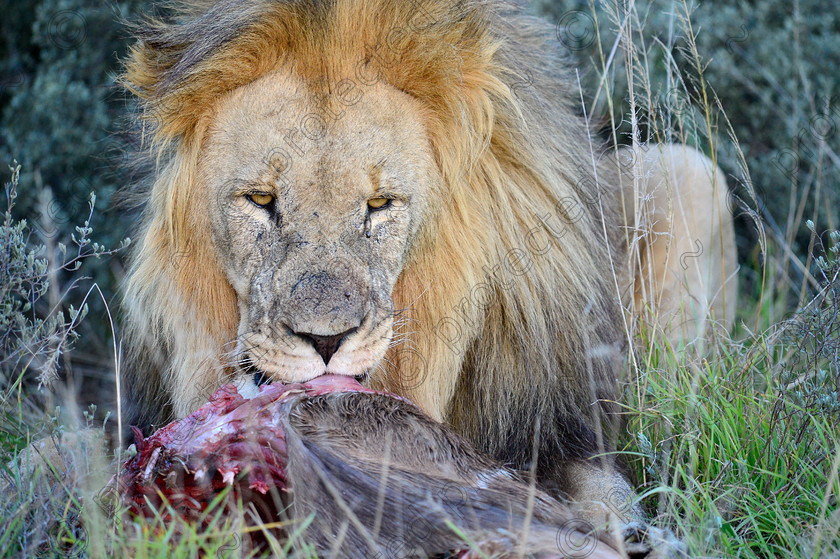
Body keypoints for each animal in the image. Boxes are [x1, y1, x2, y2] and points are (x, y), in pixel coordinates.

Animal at [120, 0, 736, 552]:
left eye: (380, 205)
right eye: (261, 200)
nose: (326, 342)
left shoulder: (556, 420)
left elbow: (599, 485)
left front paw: (631, 530)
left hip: (689, 172)